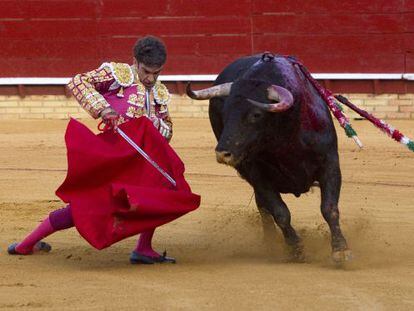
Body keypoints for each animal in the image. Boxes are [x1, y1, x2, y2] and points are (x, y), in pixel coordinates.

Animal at [188, 53, 352, 264]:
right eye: (224, 113)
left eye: (256, 114)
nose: (222, 153)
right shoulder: (257, 175)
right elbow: (280, 213)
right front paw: (296, 249)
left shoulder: (330, 163)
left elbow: (329, 208)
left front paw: (341, 250)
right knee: (264, 208)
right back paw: (270, 244)